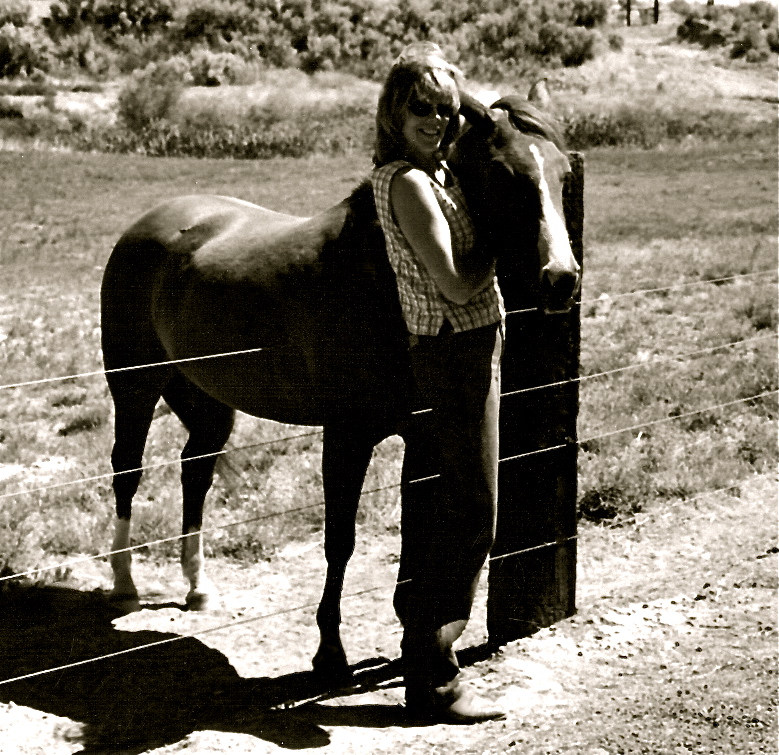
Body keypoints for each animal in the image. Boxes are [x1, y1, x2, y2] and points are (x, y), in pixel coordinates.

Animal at [100, 91, 581, 682]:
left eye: (562, 174)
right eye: (502, 173)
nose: (561, 278)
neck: (379, 278)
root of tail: (148, 225)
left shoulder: (421, 438)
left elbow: (413, 531)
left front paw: (408, 633)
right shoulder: (346, 436)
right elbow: (340, 541)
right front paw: (330, 652)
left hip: (209, 402)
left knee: (196, 472)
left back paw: (197, 588)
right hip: (135, 388)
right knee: (127, 471)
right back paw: (124, 583)